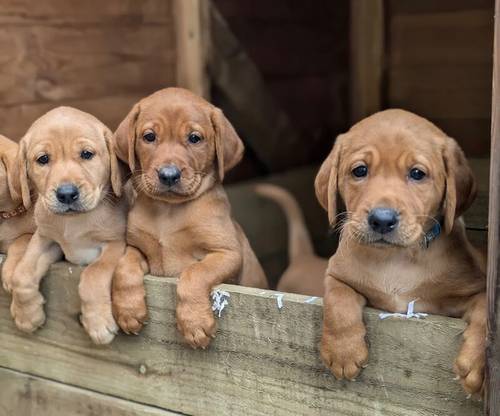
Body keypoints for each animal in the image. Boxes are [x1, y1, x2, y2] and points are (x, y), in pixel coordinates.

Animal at [8, 107, 127, 344]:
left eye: (87, 154)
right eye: (43, 159)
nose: (66, 194)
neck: (72, 223)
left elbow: (93, 274)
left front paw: (98, 323)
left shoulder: (115, 243)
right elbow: (22, 273)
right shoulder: (45, 239)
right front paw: (27, 315)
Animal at [111, 87, 268, 348]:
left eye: (195, 138)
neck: (168, 211)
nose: (168, 175)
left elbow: (194, 273)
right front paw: (128, 311)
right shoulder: (136, 246)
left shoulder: (227, 253)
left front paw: (194, 323)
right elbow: (124, 266)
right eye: (149, 137)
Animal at [314, 109, 486, 394]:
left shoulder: (475, 290)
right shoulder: (336, 273)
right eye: (359, 170)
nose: (382, 219)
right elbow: (338, 298)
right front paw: (343, 352)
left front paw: (476, 365)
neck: (396, 259)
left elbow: (487, 318)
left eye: (417, 173)